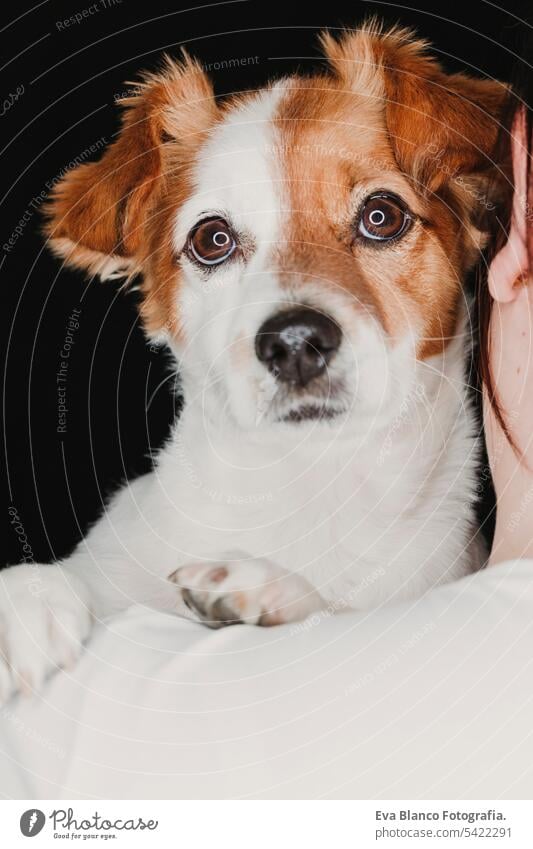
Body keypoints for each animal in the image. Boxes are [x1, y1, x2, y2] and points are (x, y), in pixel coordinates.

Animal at [1, 21, 508, 704]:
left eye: (382, 216)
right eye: (212, 239)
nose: (294, 341)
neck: (308, 486)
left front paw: (266, 584)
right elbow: (64, 577)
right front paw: (22, 606)